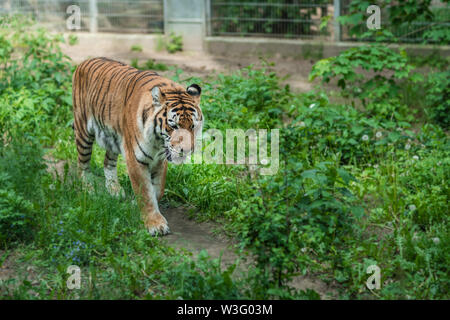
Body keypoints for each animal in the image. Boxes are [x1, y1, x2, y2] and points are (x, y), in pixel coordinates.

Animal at [72, 57, 204, 236]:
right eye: (174, 126)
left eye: (193, 126)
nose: (187, 149)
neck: (158, 142)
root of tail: (85, 61)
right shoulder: (136, 159)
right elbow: (145, 193)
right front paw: (155, 224)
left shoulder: (160, 160)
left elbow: (157, 189)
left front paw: (138, 205)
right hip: (84, 131)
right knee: (82, 165)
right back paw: (87, 187)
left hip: (113, 138)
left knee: (108, 162)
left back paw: (114, 189)